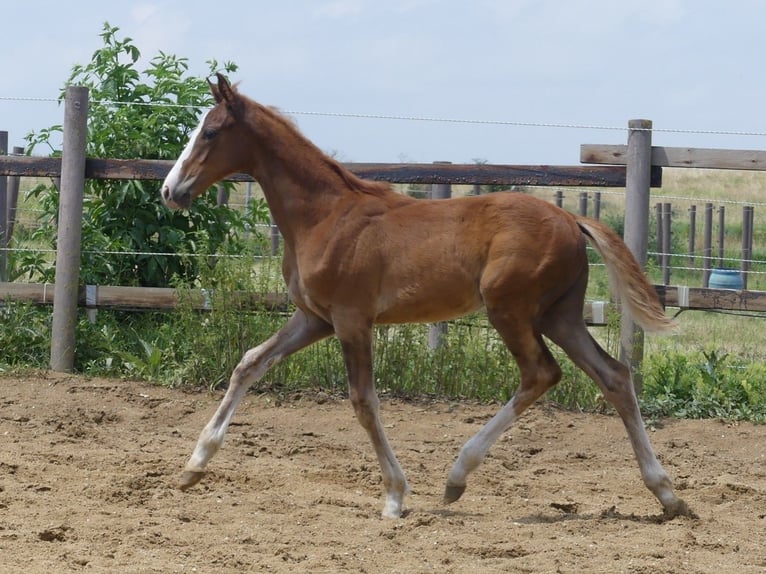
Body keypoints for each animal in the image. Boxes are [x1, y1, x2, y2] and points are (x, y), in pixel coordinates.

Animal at [159, 74, 692, 520]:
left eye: (210, 133)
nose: (169, 190)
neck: (324, 216)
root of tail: (570, 218)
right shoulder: (315, 318)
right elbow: (250, 363)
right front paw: (192, 467)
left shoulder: (351, 319)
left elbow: (363, 401)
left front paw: (395, 496)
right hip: (559, 315)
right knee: (614, 376)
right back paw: (667, 494)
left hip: (510, 309)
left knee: (541, 373)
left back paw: (457, 477)